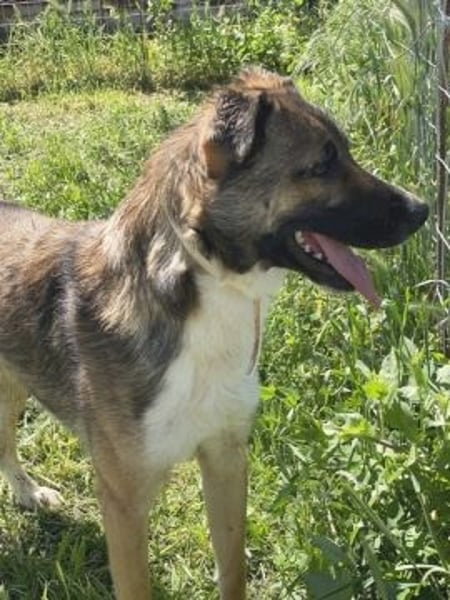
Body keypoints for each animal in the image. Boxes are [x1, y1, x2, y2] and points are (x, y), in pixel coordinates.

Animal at [0, 68, 428, 599]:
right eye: (321, 165)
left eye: (344, 152)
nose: (423, 209)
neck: (200, 286)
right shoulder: (124, 502)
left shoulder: (226, 458)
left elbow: (232, 568)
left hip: (14, 386)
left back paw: (28, 493)